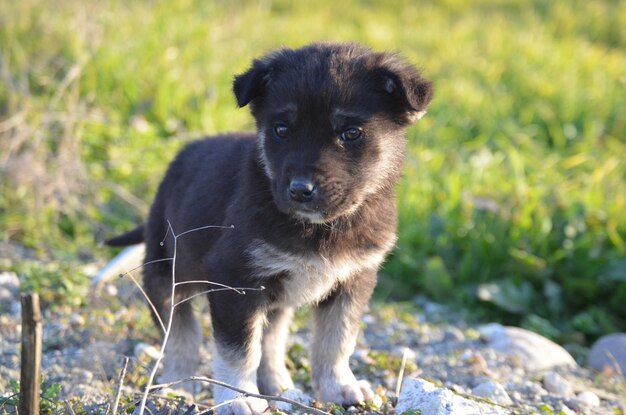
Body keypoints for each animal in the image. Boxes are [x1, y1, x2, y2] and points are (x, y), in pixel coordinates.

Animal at [106, 43, 428, 415]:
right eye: (282, 129)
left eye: (351, 134)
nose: (300, 190)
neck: (318, 229)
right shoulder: (235, 280)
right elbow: (239, 351)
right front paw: (240, 399)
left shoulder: (353, 280)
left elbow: (336, 340)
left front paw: (338, 387)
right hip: (166, 271)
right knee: (180, 334)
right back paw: (176, 387)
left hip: (275, 298)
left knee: (271, 340)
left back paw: (281, 387)